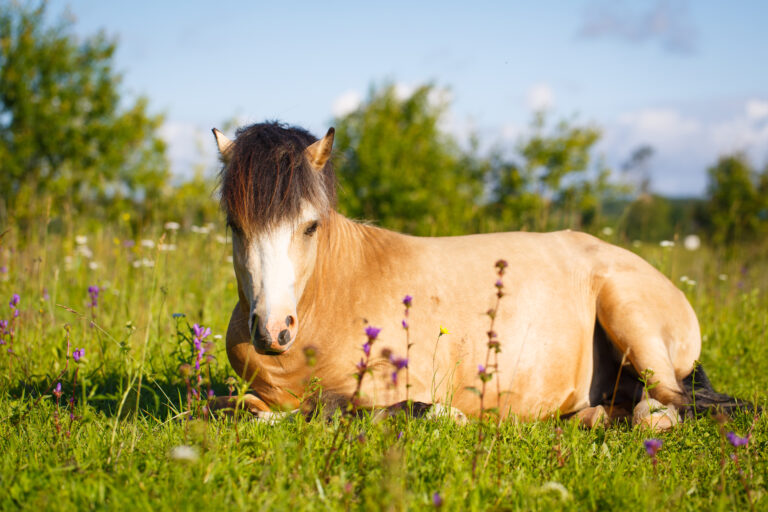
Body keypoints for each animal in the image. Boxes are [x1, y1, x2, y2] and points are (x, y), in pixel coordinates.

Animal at [211, 121, 745, 429]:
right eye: (235, 226)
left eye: (309, 226)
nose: (273, 331)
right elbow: (236, 409)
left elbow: (334, 412)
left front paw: (445, 415)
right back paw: (589, 416)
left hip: (630, 316)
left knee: (667, 408)